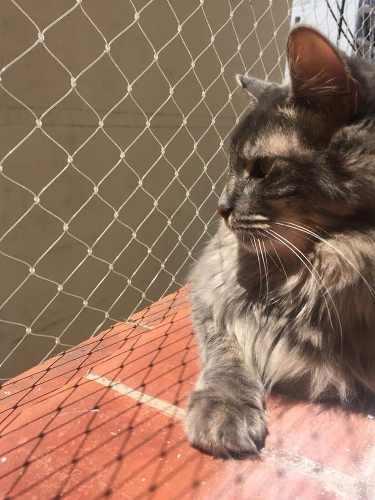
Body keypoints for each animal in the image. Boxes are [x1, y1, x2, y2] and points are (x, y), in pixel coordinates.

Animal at [187, 25, 375, 458]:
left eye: (261, 169)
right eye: (232, 165)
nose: (221, 208)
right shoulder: (211, 289)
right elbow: (226, 348)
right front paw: (223, 408)